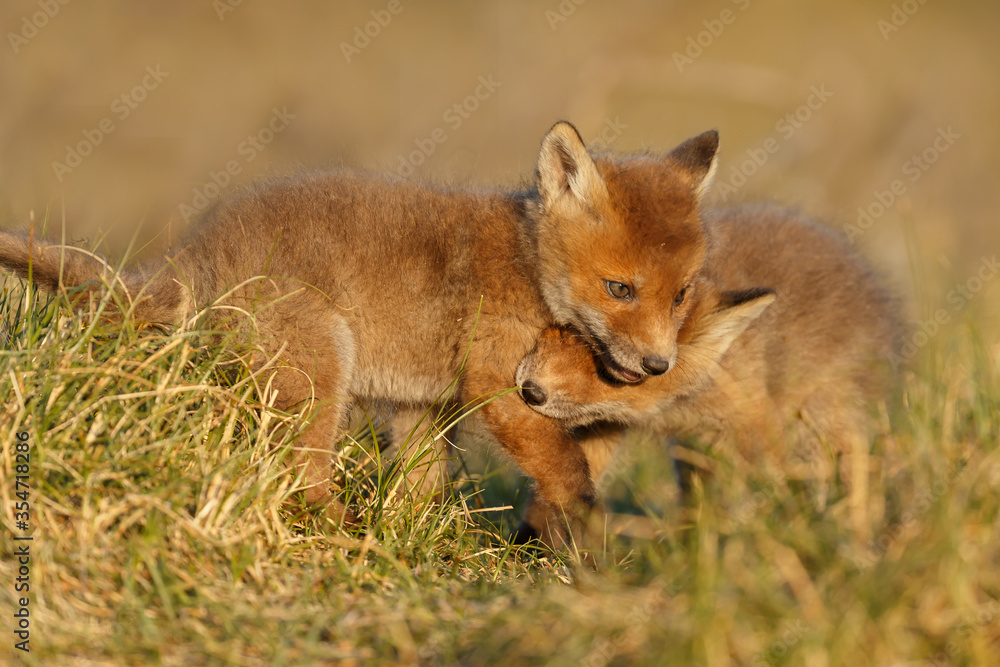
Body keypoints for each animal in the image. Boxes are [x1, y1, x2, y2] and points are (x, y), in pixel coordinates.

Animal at [0, 121, 719, 541]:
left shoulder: (423, 406)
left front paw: (416, 544)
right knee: (300, 486)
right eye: (620, 289)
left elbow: (418, 489)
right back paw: (341, 531)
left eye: (680, 294)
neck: (526, 266)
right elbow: (568, 466)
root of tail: (193, 253)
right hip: (322, 369)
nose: (658, 364)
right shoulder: (498, 385)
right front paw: (583, 528)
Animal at [514, 203, 898, 540]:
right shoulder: (610, 424)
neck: (680, 408)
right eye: (566, 334)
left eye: (614, 373)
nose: (530, 390)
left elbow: (776, 489)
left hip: (827, 427)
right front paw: (531, 544)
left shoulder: (756, 422)